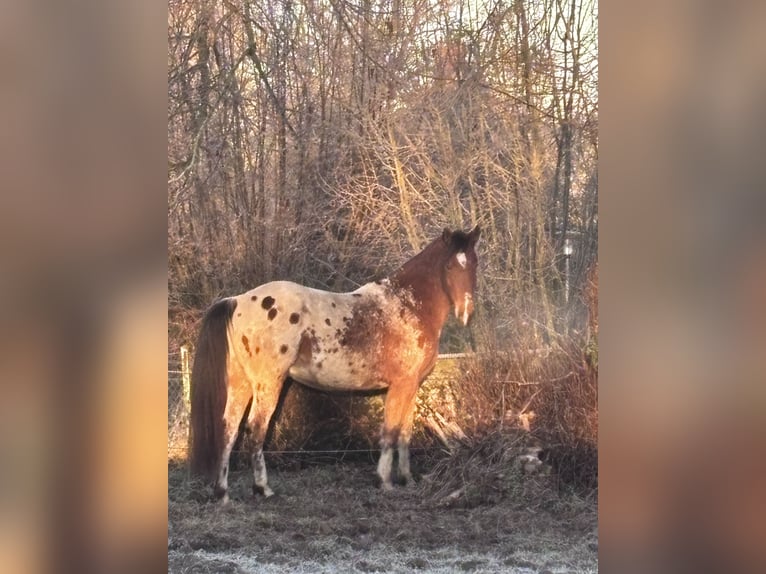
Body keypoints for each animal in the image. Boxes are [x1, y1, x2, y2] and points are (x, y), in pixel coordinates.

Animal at [189, 226, 481, 502]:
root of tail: (237, 301)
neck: (407, 306)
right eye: (449, 266)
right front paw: (384, 481)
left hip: (241, 383)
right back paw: (263, 489)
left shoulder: (412, 387)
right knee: (256, 429)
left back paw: (222, 493)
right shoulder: (401, 386)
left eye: (474, 263)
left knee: (229, 428)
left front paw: (406, 479)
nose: (466, 313)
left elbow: (405, 434)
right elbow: (390, 432)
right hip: (268, 384)